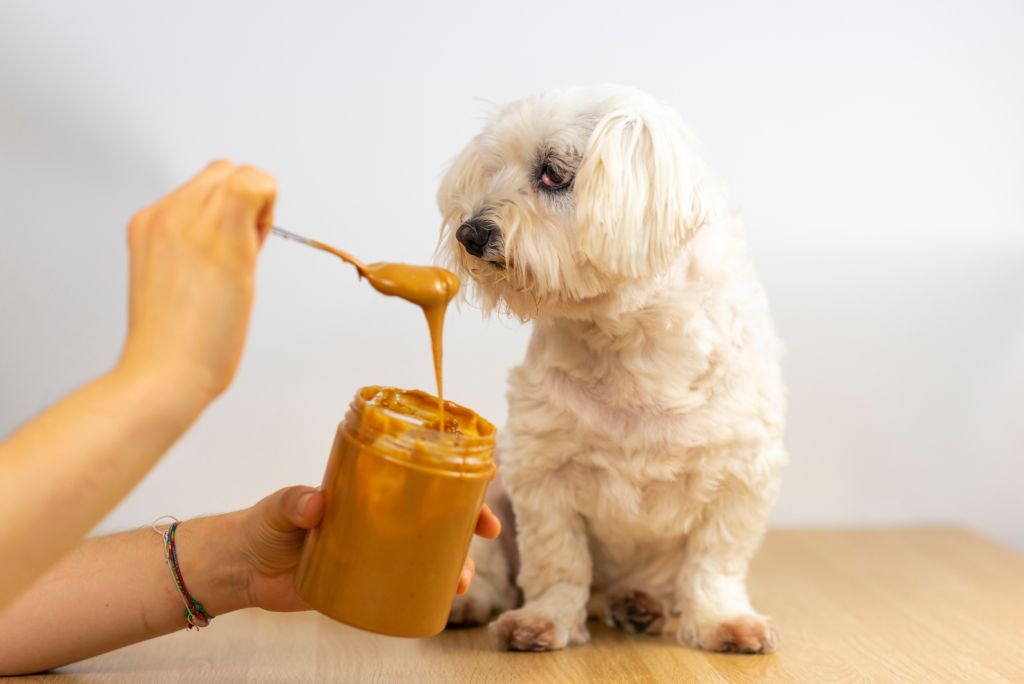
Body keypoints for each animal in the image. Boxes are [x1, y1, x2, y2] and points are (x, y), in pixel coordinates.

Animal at [438, 85, 782, 651]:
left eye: (553, 173)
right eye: (491, 170)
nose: (470, 232)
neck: (630, 344)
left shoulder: (739, 475)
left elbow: (714, 565)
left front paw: (723, 622)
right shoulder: (543, 474)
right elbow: (558, 562)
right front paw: (546, 620)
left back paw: (639, 606)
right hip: (492, 494)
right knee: (493, 572)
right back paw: (469, 602)